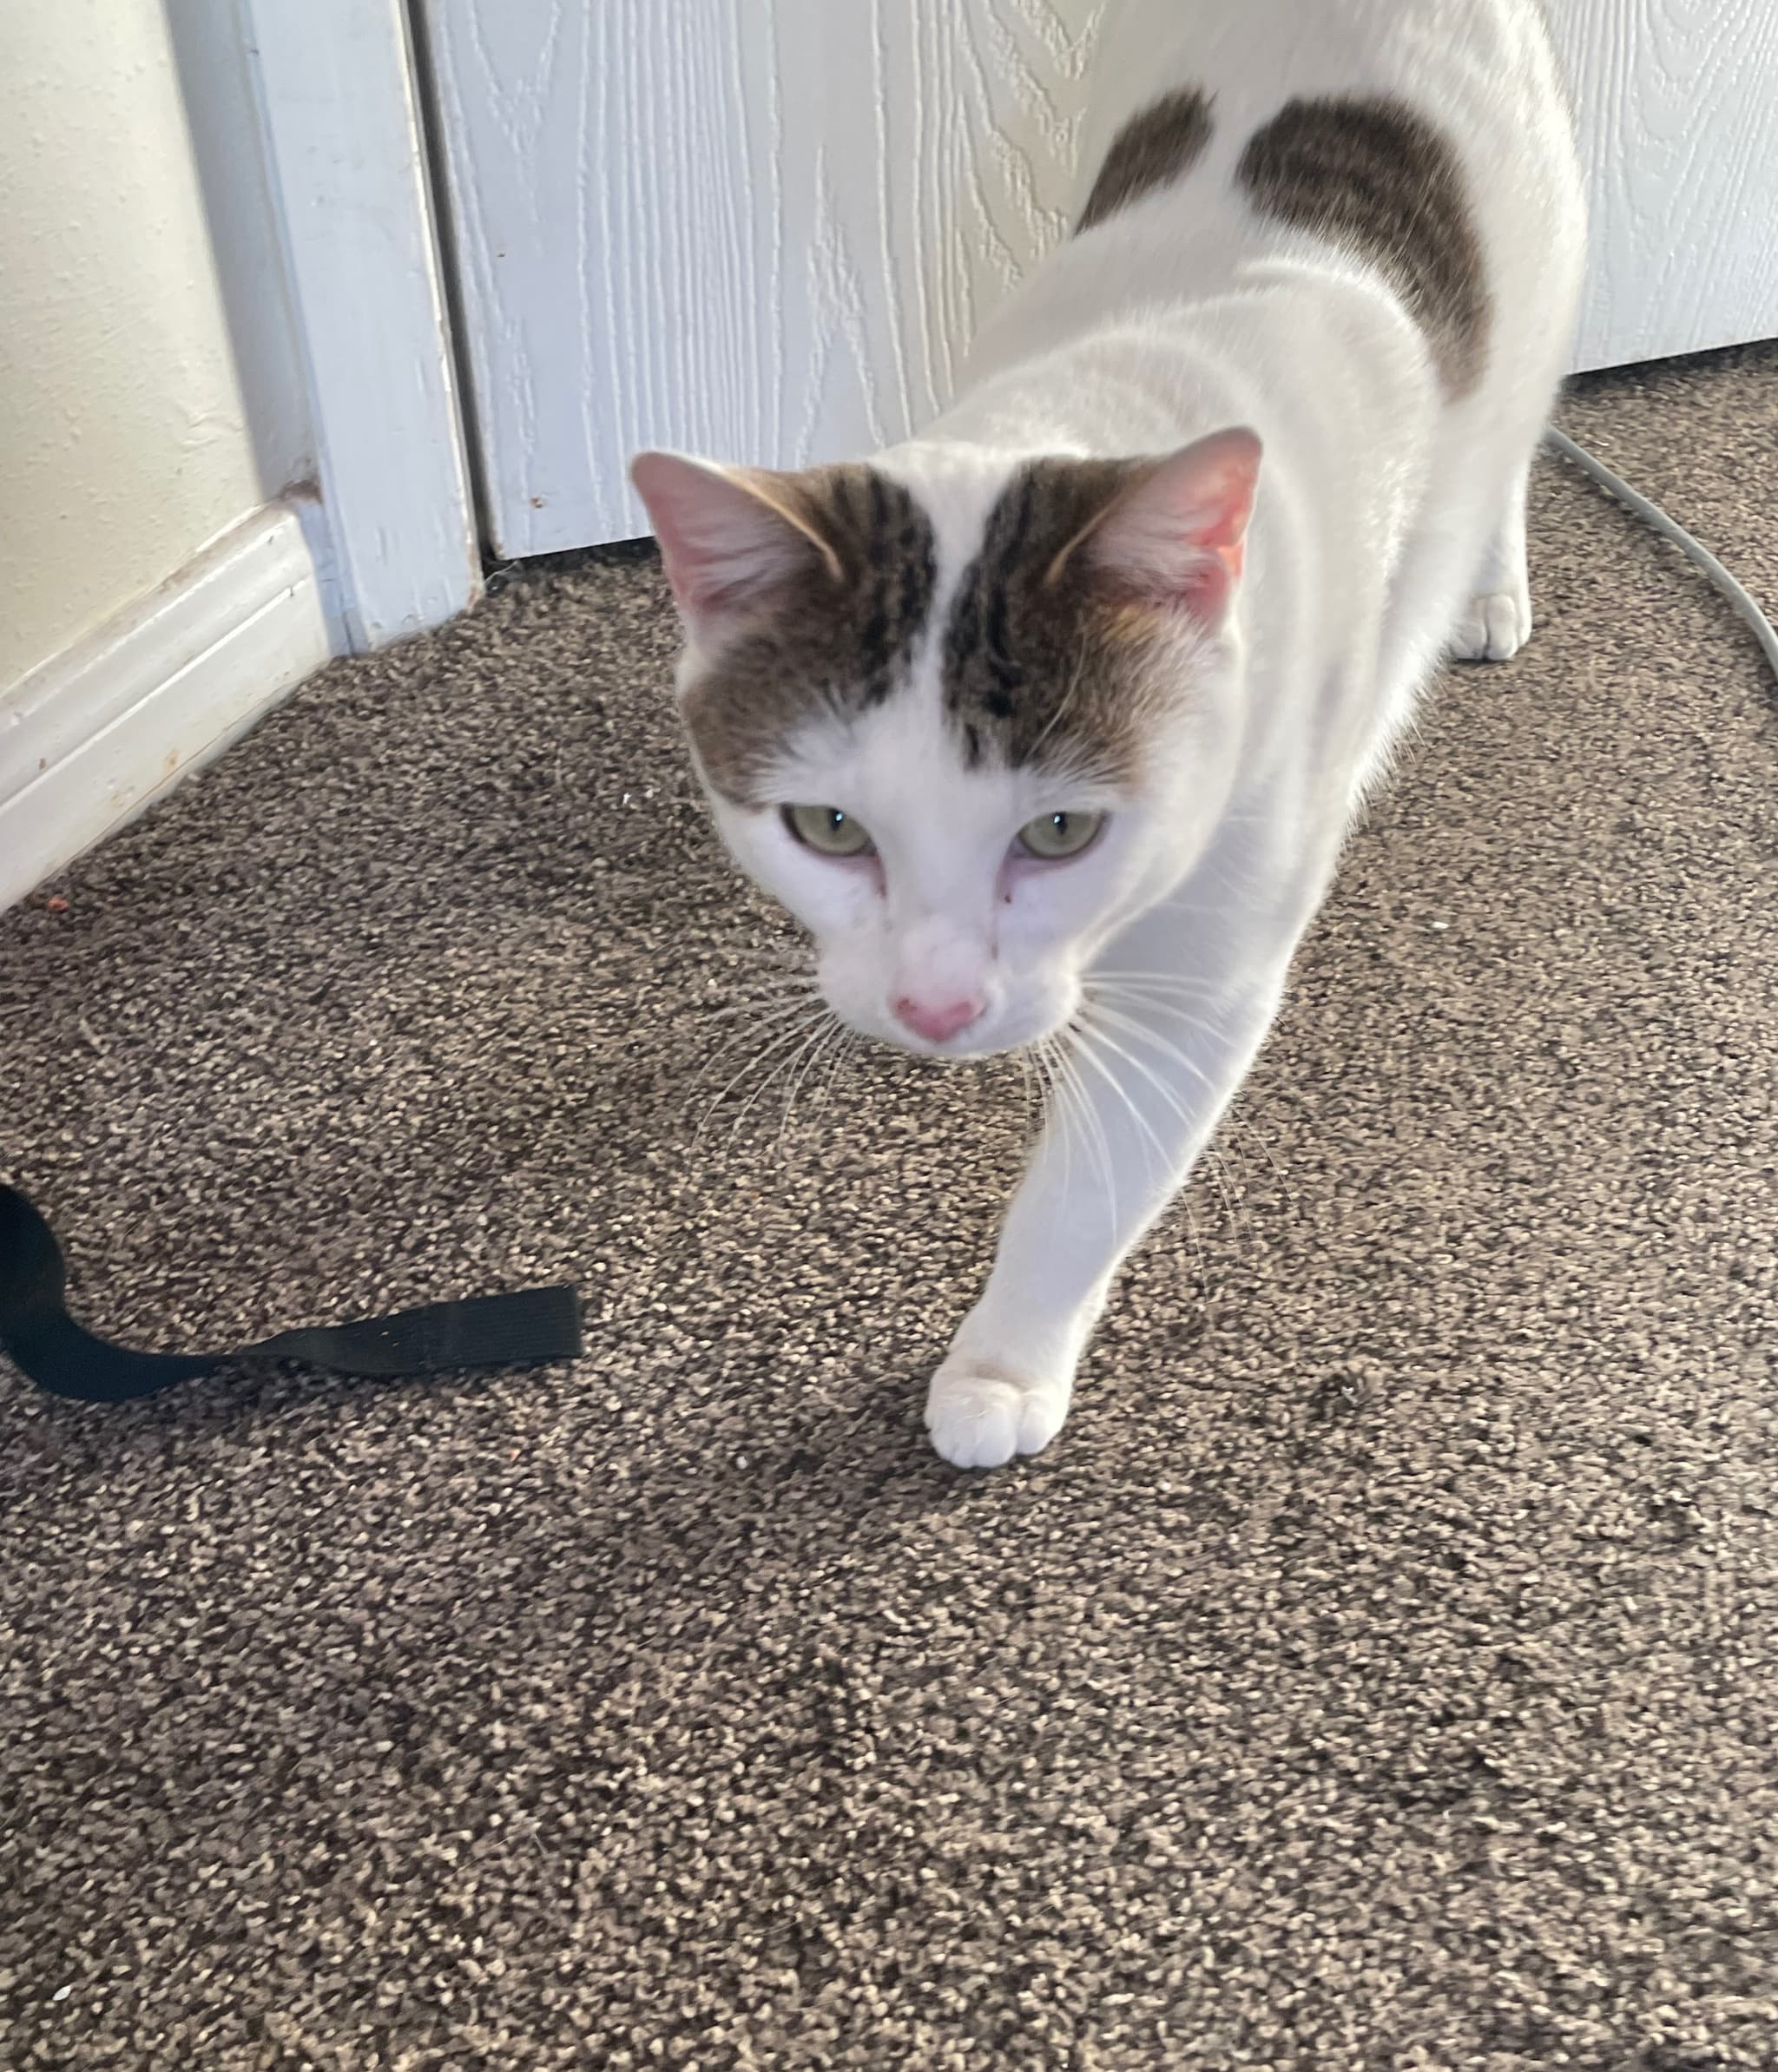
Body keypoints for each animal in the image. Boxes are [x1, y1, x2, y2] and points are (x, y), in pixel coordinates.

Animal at [631, 0, 1586, 1469]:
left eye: (1064, 829)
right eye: (828, 826)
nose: (936, 1008)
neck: (1124, 395)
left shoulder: (1207, 963)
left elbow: (1093, 1183)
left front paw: (1002, 1366)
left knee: (1511, 446)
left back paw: (1483, 588)